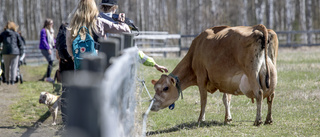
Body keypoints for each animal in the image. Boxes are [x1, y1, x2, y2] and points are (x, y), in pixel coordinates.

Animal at [150, 24, 278, 126]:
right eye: (155, 88)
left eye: (165, 88)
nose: (152, 106)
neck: (195, 50)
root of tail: (257, 27)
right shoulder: (226, 81)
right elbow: (226, 99)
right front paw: (227, 118)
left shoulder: (201, 77)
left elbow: (203, 100)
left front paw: (201, 119)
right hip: (271, 73)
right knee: (271, 95)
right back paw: (268, 119)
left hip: (251, 72)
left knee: (259, 93)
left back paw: (258, 120)